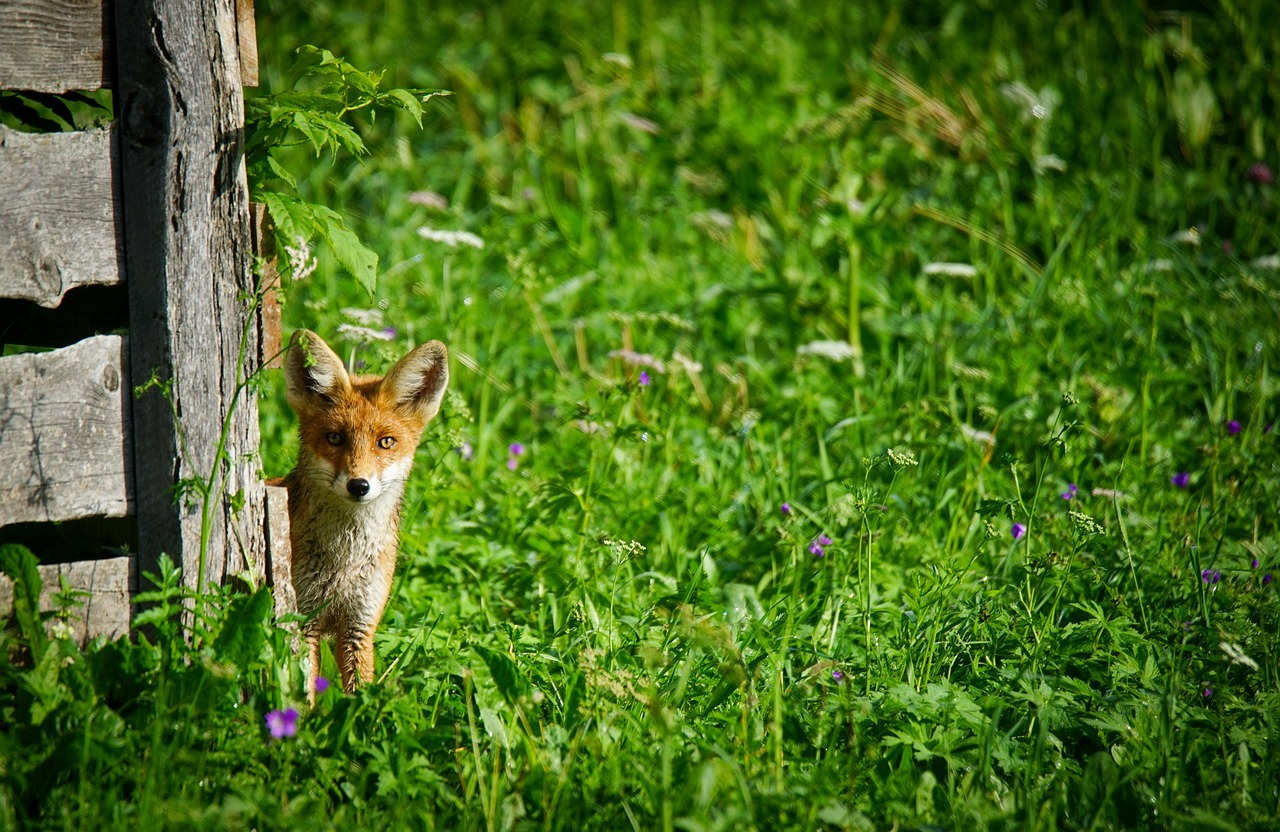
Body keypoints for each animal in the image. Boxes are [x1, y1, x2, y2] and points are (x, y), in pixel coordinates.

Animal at [277, 327, 448, 696]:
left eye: (386, 442)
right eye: (335, 438)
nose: (359, 486)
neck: (345, 561)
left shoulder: (360, 625)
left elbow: (358, 697)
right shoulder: (304, 620)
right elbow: (304, 693)